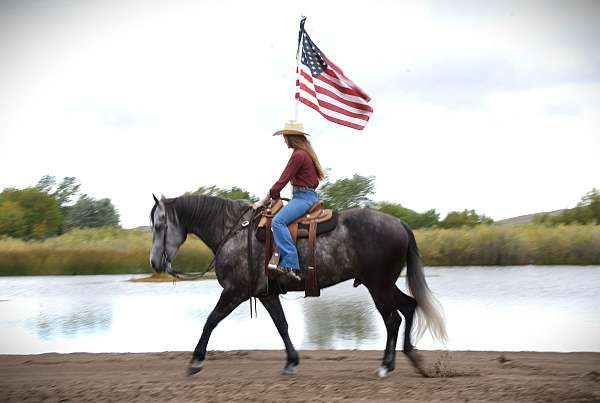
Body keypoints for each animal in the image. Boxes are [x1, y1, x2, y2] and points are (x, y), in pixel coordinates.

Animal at [149, 194, 446, 378]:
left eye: (160, 225)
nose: (154, 262)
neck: (232, 232)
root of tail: (399, 222)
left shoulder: (235, 292)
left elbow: (210, 321)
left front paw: (195, 361)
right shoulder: (265, 294)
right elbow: (282, 325)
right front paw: (292, 362)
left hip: (378, 285)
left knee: (393, 319)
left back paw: (387, 366)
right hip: (383, 284)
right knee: (409, 306)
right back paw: (412, 358)